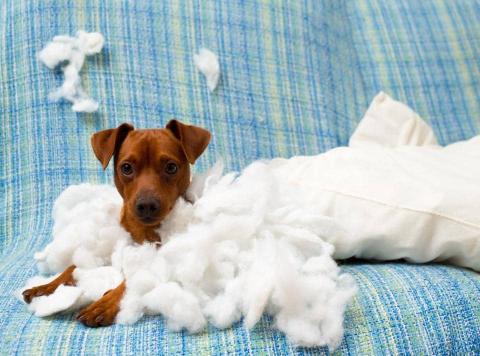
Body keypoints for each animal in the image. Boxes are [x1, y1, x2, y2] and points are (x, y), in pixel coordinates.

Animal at [21, 120, 211, 328]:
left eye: (171, 168)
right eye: (126, 168)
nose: (146, 205)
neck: (143, 231)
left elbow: (131, 280)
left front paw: (105, 303)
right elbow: (72, 267)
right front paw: (46, 286)